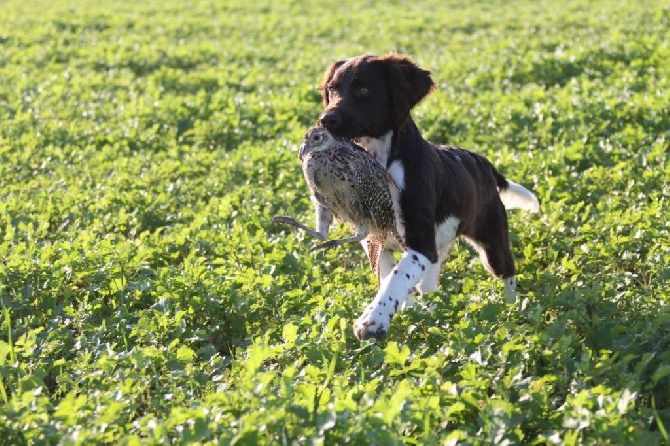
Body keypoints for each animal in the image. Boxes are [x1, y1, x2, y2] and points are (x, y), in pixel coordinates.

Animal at [318, 54, 544, 340]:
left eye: (363, 90)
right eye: (332, 89)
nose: (326, 120)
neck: (382, 161)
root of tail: (481, 162)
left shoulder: (421, 244)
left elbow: (396, 276)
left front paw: (372, 320)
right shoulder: (377, 240)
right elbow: (388, 274)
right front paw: (404, 311)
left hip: (493, 243)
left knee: (508, 274)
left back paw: (513, 312)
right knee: (429, 286)